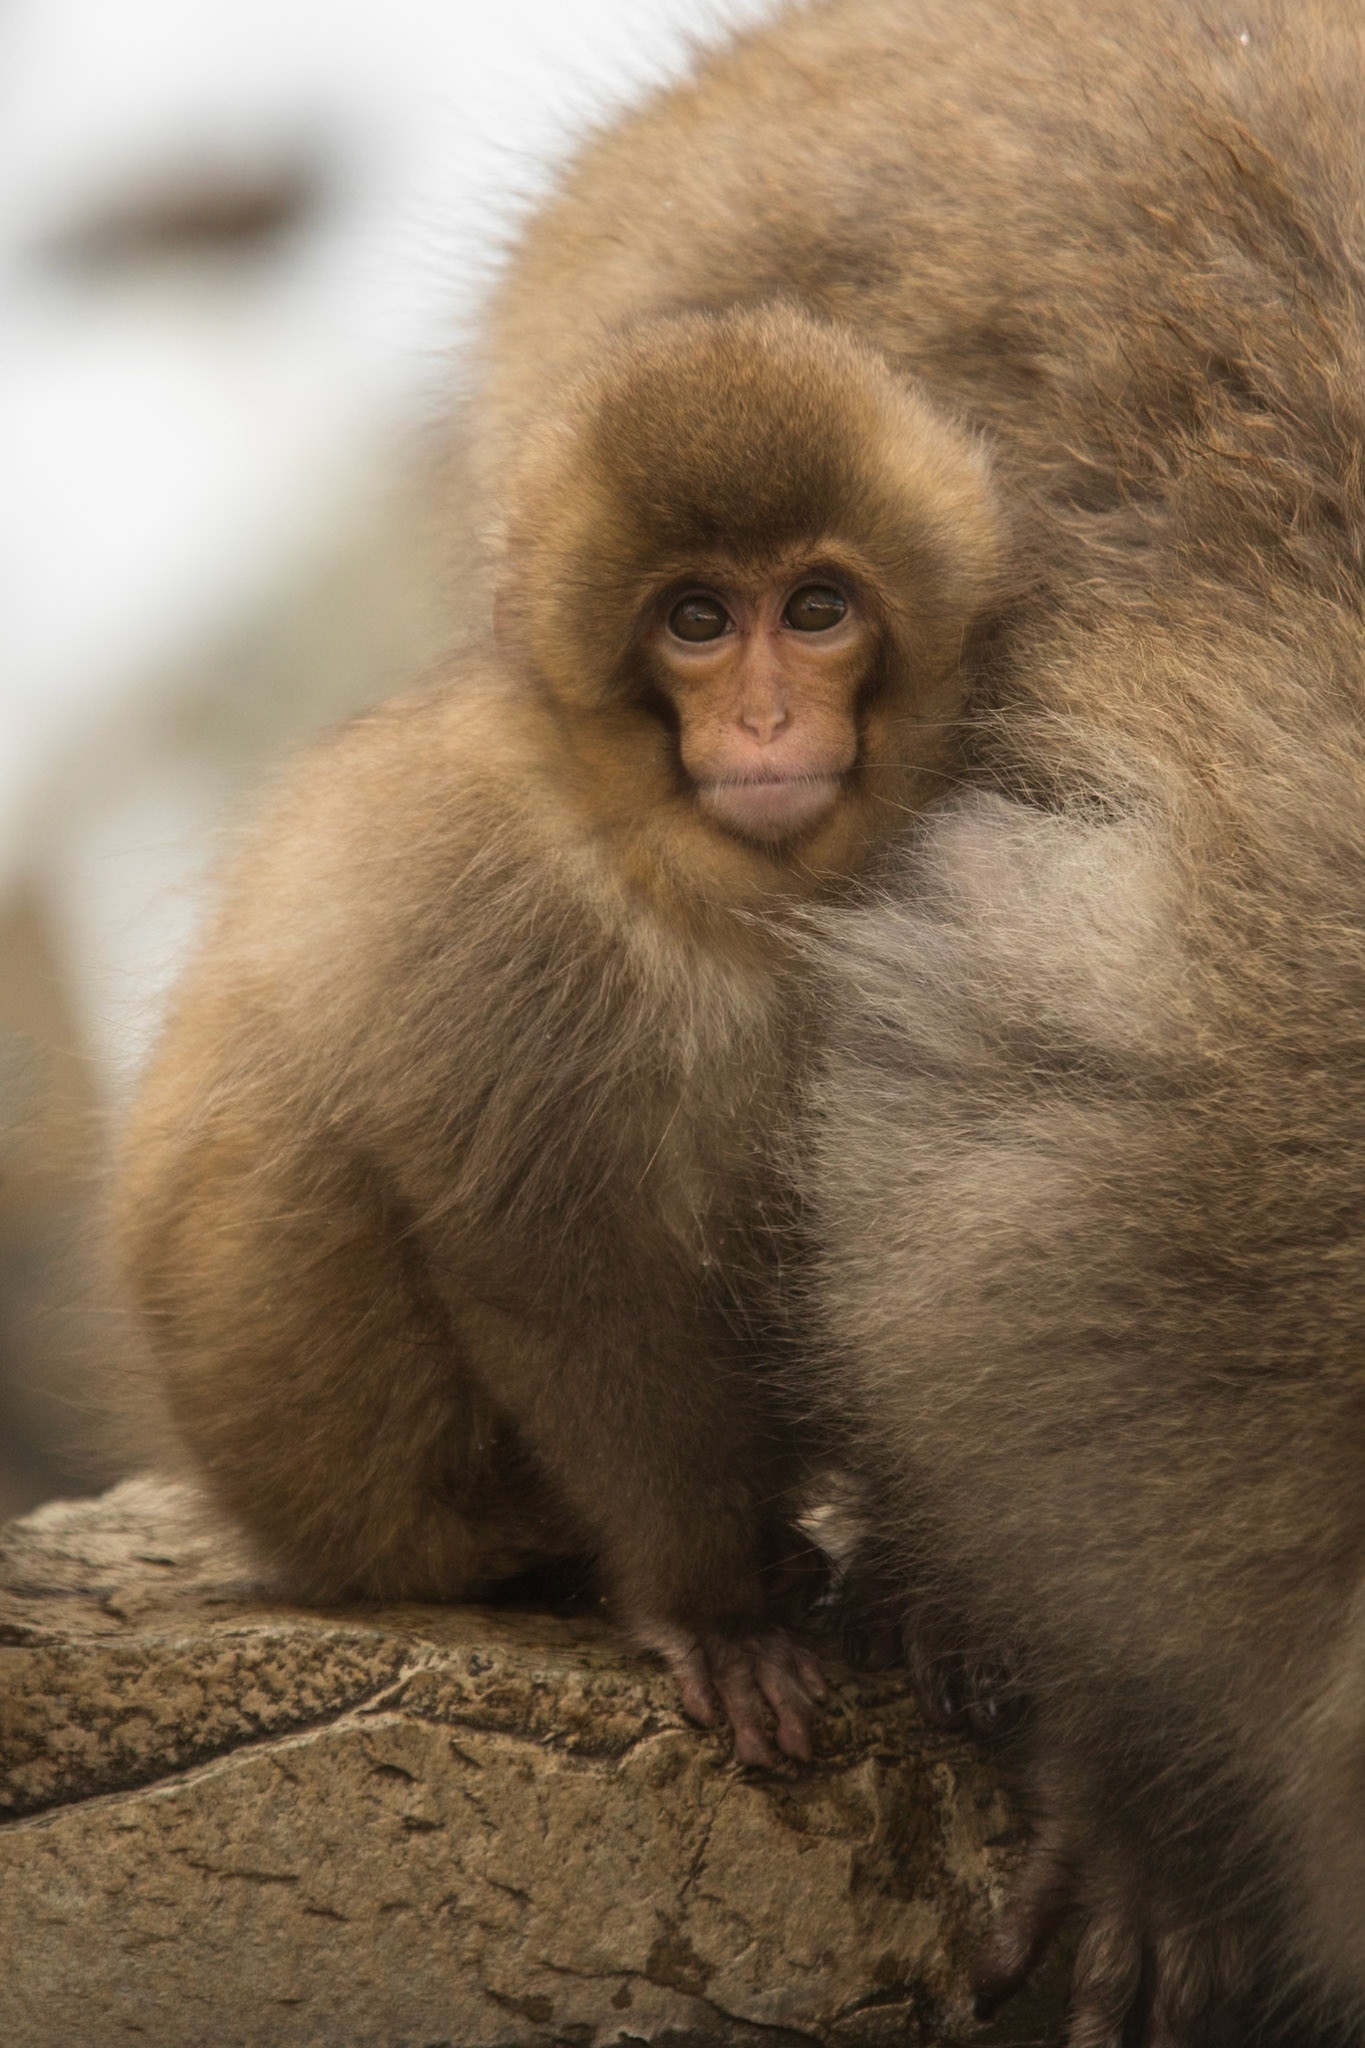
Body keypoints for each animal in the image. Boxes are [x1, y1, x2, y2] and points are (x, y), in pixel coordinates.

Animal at [114, 299, 1006, 1770]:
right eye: (697, 621)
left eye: (816, 609)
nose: (766, 718)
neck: (704, 880)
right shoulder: (485, 901)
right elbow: (553, 1264)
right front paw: (713, 1609)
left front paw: (936, 1589)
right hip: (347, 1486)